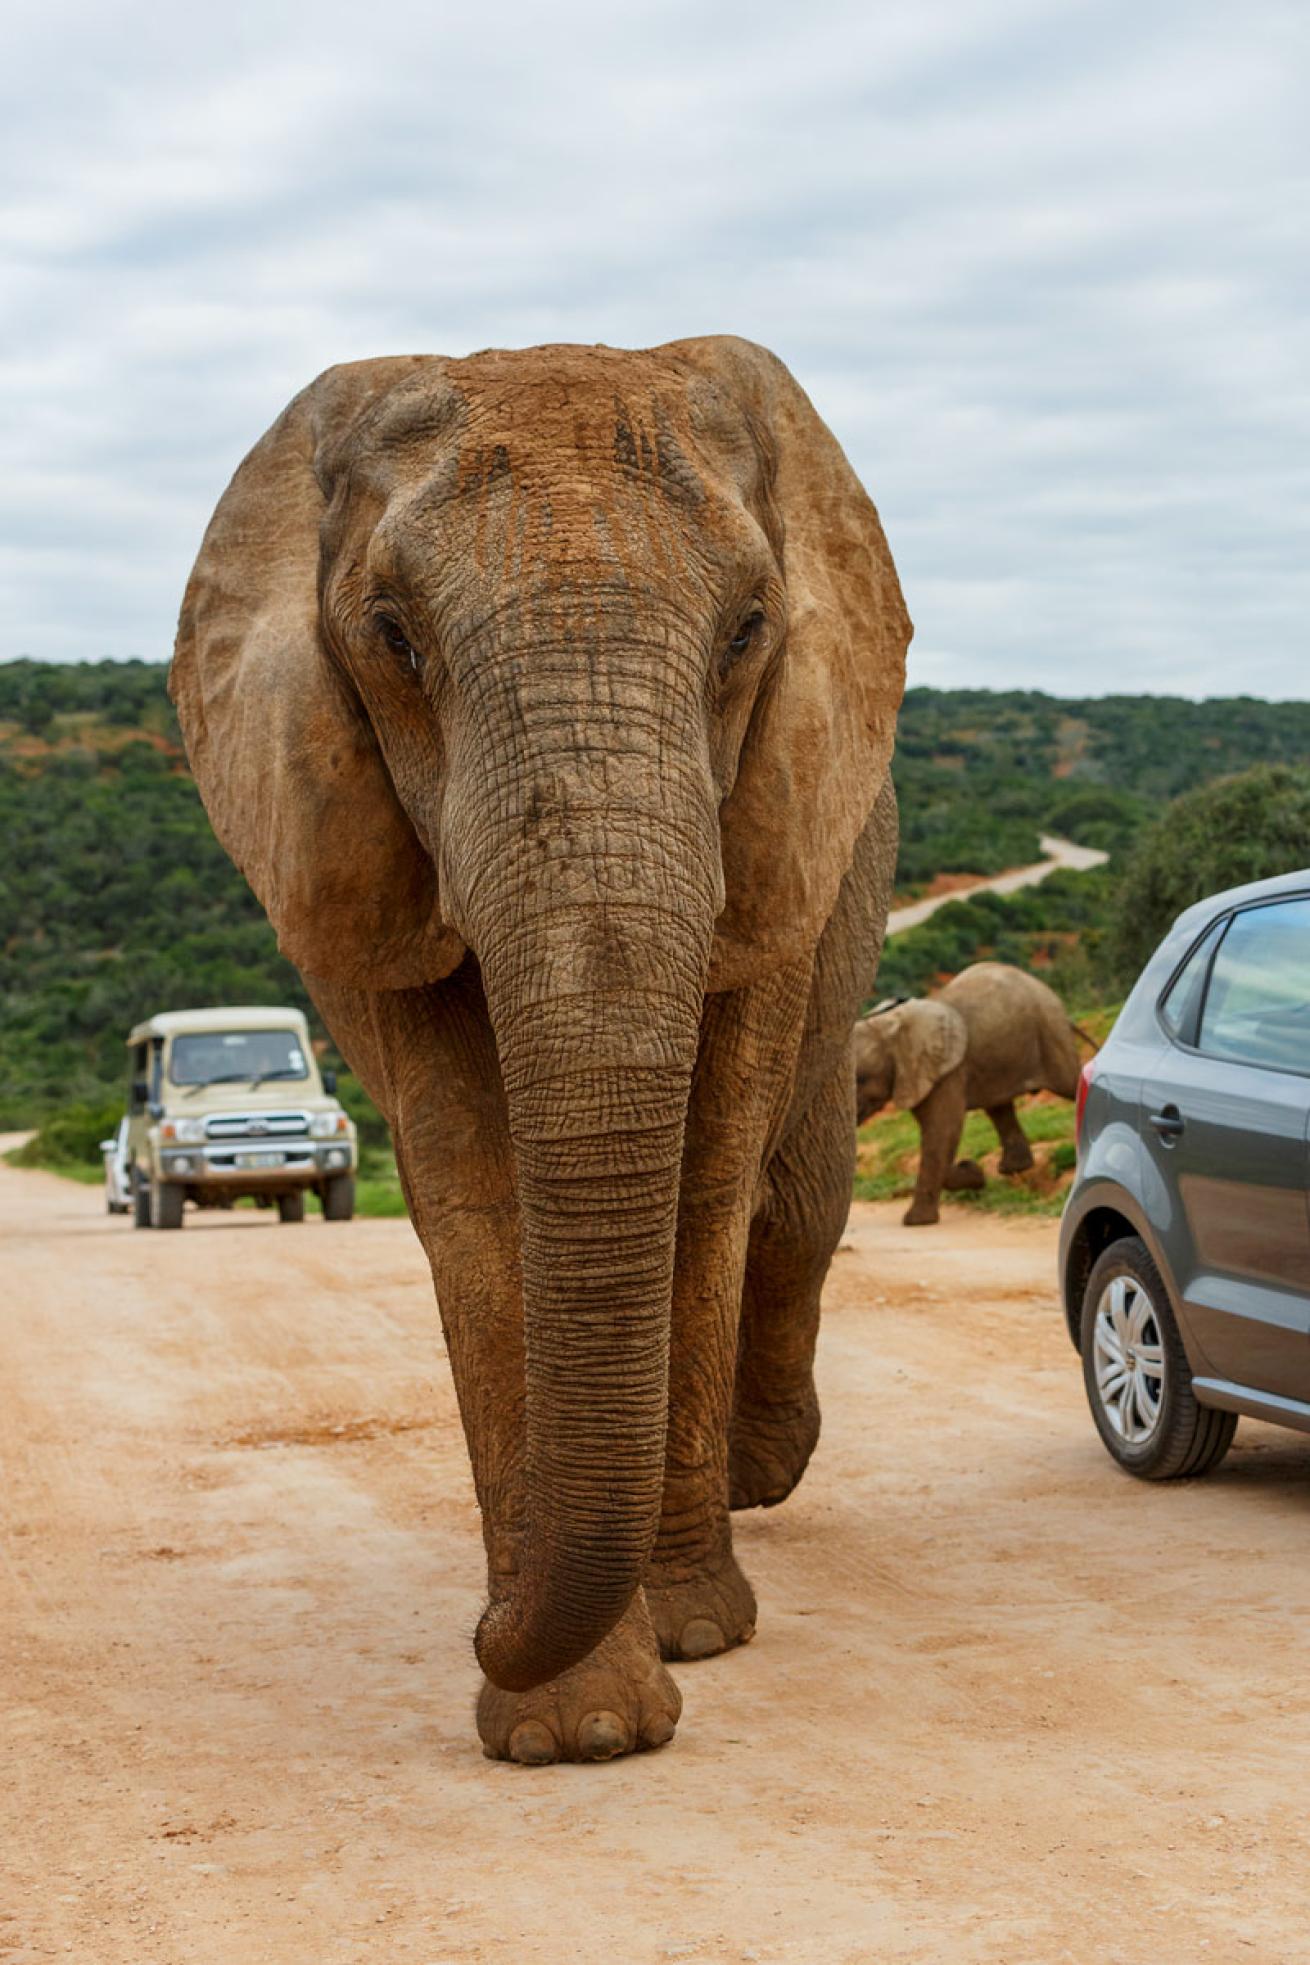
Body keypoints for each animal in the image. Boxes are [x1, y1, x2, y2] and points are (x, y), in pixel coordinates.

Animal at [168, 334, 911, 1768]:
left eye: (748, 629)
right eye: (393, 639)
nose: (482, 1625)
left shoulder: (779, 820)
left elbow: (706, 1181)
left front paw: (686, 1636)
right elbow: (468, 1198)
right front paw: (574, 1725)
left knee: (798, 1200)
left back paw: (766, 1469)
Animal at [852, 958, 1084, 1218]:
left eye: (860, 1078)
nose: (969, 1163)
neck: (886, 1023)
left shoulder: (945, 1070)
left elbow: (943, 1129)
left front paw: (917, 1220)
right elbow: (939, 1133)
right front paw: (973, 1172)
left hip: (1050, 1031)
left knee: (1070, 1082)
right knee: (998, 1107)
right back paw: (1013, 1168)